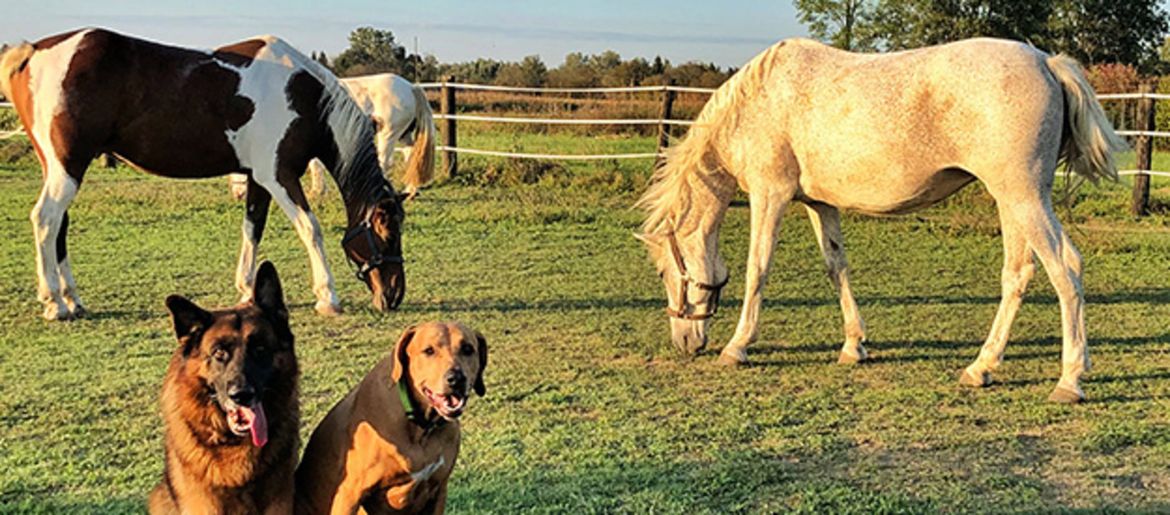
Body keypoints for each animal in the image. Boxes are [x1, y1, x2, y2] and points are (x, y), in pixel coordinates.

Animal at [0, 29, 411, 323]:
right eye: (387, 234)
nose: (393, 295)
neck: (303, 95)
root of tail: (34, 50)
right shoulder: (279, 176)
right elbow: (311, 229)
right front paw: (328, 296)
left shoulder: (258, 179)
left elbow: (252, 229)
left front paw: (246, 289)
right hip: (68, 166)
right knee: (45, 220)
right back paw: (55, 303)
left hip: (59, 166)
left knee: (59, 227)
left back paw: (73, 299)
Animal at [228, 71, 435, 198]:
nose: (238, 194)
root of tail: (411, 87)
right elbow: (316, 166)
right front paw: (318, 191)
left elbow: (315, 166)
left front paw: (317, 192)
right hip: (403, 134)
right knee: (411, 156)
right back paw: (411, 190)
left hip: (388, 134)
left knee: (385, 161)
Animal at [301, 323, 489, 510]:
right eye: (429, 351)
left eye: (468, 349)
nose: (456, 379)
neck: (420, 427)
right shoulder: (349, 493)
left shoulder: (440, 489)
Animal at [636, 38, 1127, 404]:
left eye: (662, 272)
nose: (685, 342)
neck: (758, 103)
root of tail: (1047, 63)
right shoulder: (819, 204)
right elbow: (836, 267)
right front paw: (854, 346)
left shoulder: (769, 195)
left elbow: (758, 269)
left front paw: (737, 346)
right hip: (1013, 202)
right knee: (1018, 274)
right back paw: (981, 367)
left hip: (1024, 197)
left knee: (1065, 268)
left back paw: (1070, 380)